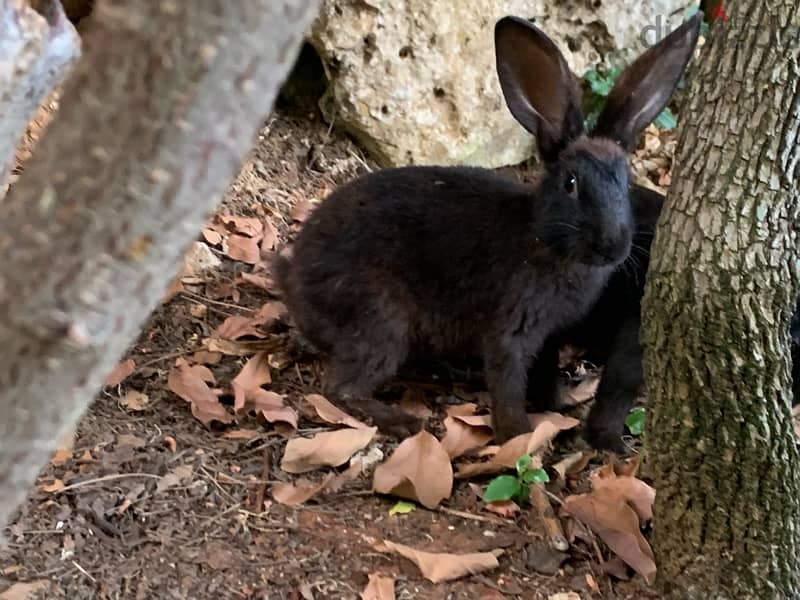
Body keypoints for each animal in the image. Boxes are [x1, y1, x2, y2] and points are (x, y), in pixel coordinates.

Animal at [276, 15, 700, 440]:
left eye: (625, 184)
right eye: (571, 184)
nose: (612, 245)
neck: (544, 238)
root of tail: (294, 282)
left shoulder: (549, 336)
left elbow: (542, 373)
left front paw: (553, 406)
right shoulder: (512, 328)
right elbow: (508, 379)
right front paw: (519, 435)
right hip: (381, 319)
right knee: (341, 387)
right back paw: (405, 422)